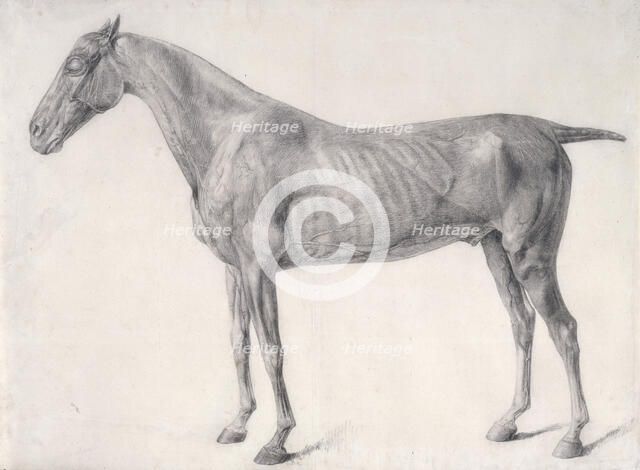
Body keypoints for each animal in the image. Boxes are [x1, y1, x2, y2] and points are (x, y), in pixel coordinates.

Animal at [29, 16, 625, 465]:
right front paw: (236, 425)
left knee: (564, 329)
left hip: (532, 256)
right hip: (495, 249)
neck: (229, 139)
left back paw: (573, 436)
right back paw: (508, 423)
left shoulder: (257, 269)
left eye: (76, 64)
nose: (35, 133)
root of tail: (548, 128)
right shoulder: (231, 270)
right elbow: (238, 343)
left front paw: (276, 440)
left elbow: (272, 349)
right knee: (522, 325)